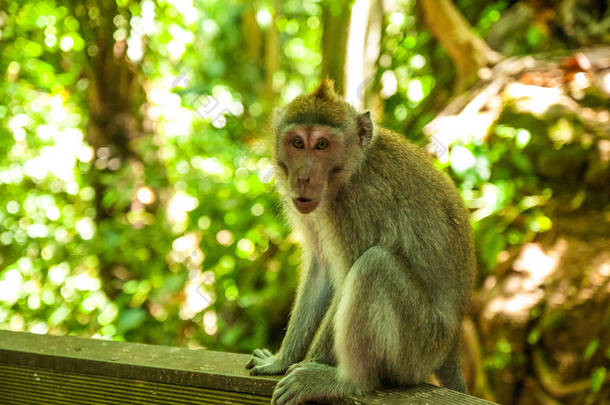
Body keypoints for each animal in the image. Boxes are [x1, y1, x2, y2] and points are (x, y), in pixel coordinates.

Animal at [245, 79, 472, 404]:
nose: (303, 178)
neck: (350, 172)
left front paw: (310, 366)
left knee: (374, 265)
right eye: (298, 143)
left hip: (418, 349)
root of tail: (449, 347)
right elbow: (321, 270)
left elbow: (346, 278)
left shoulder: (357, 207)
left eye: (323, 145)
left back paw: (348, 382)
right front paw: (282, 360)